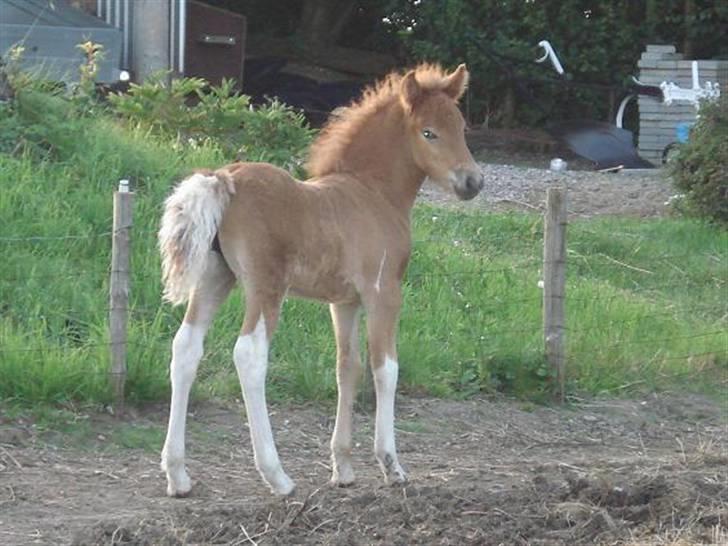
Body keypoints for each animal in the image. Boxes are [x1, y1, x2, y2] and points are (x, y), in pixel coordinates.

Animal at [161, 63, 484, 498]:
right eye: (428, 132)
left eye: (461, 127)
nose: (472, 182)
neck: (373, 193)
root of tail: (224, 179)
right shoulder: (384, 293)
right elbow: (385, 368)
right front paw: (391, 464)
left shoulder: (343, 301)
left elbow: (347, 367)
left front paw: (342, 467)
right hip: (265, 287)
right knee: (249, 354)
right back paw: (277, 476)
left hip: (216, 278)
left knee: (186, 347)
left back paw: (177, 475)